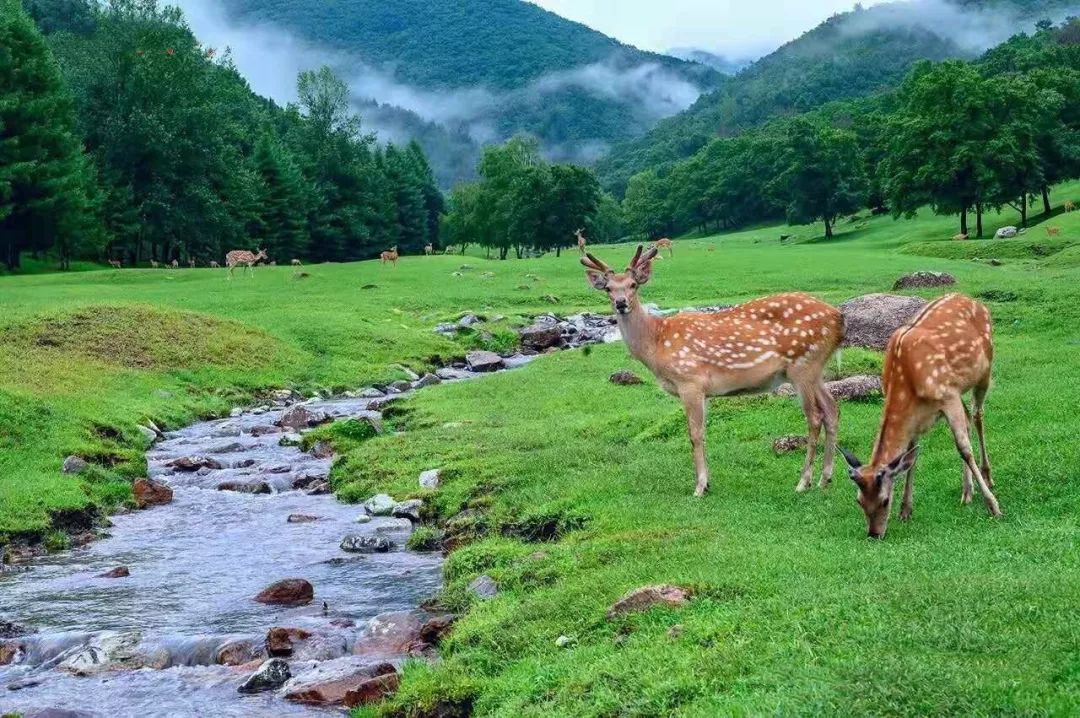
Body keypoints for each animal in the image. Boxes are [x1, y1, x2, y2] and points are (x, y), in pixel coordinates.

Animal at [583, 246, 842, 497]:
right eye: (608, 288)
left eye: (633, 285)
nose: (621, 303)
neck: (656, 344)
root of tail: (838, 317)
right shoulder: (704, 391)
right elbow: (704, 433)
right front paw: (707, 483)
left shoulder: (690, 381)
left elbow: (694, 434)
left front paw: (699, 487)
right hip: (815, 369)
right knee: (832, 409)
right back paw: (825, 479)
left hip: (803, 365)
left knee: (815, 417)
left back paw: (804, 482)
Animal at [840, 294, 1001, 539]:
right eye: (858, 501)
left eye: (885, 500)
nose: (874, 534)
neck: (906, 382)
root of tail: (973, 300)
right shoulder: (917, 416)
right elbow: (912, 456)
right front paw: (906, 510)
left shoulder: (947, 395)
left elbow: (964, 449)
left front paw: (993, 506)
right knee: (968, 419)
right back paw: (967, 492)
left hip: (985, 370)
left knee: (977, 415)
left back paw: (987, 478)